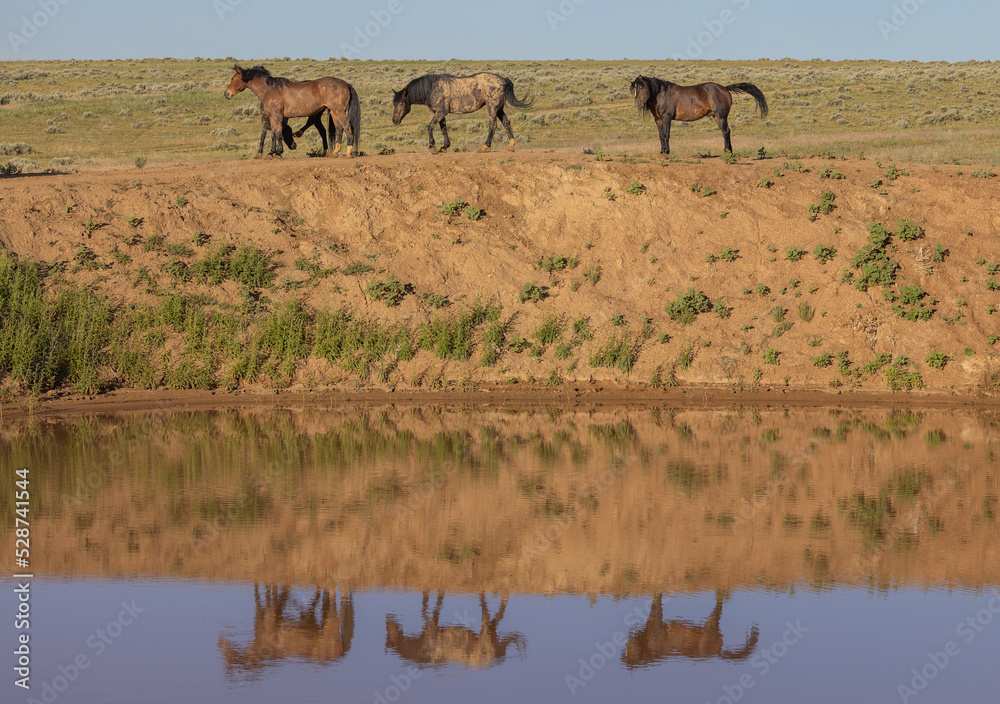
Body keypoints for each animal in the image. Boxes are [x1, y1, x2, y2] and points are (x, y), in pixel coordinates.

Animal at [224, 65, 360, 158]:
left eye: (233, 78)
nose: (226, 94)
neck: (269, 90)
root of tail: (346, 84)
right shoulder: (271, 117)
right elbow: (273, 133)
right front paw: (271, 153)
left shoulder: (277, 116)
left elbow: (278, 133)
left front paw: (278, 153)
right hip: (333, 112)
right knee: (339, 129)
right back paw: (335, 152)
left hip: (339, 111)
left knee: (347, 127)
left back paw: (348, 152)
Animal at [392, 73, 533, 154]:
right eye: (394, 103)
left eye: (401, 104)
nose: (394, 120)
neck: (432, 88)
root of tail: (503, 80)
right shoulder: (440, 113)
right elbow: (444, 129)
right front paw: (444, 147)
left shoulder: (441, 112)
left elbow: (430, 126)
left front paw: (432, 147)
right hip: (499, 109)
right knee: (506, 123)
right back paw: (511, 146)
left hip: (492, 108)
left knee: (493, 126)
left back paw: (484, 147)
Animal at [629, 75, 768, 156]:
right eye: (634, 89)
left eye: (642, 87)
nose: (638, 103)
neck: (661, 94)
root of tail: (725, 88)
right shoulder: (658, 120)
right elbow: (661, 135)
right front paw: (662, 151)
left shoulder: (667, 117)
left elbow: (666, 135)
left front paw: (667, 152)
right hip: (716, 117)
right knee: (726, 132)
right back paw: (729, 150)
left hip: (721, 116)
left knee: (726, 132)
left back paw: (726, 151)